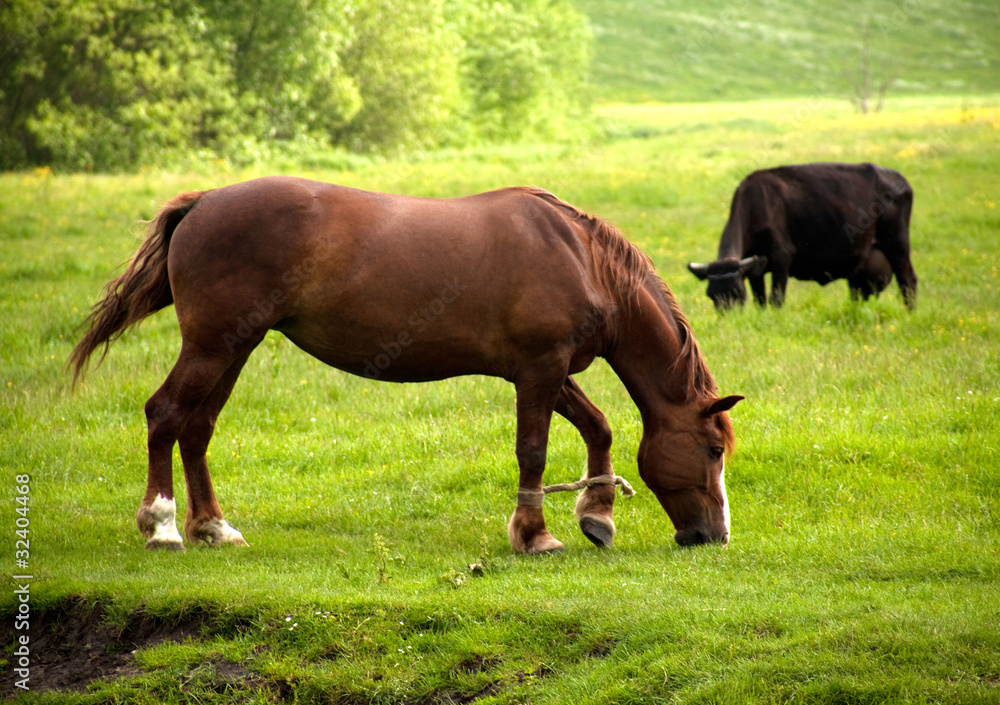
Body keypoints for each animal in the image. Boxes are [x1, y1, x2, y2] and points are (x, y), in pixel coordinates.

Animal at [70, 179, 744, 552]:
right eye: (713, 450)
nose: (714, 536)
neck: (579, 258)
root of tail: (204, 202)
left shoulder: (544, 372)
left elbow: (598, 426)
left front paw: (596, 514)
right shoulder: (539, 369)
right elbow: (534, 450)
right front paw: (535, 534)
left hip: (235, 348)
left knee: (197, 427)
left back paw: (213, 526)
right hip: (212, 347)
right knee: (165, 415)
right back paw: (163, 526)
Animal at [692, 165, 916, 310]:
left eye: (737, 293)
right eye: (711, 295)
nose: (728, 318)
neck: (756, 204)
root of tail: (900, 180)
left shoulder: (782, 257)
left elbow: (776, 299)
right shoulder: (755, 269)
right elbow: (760, 301)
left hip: (898, 246)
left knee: (908, 281)